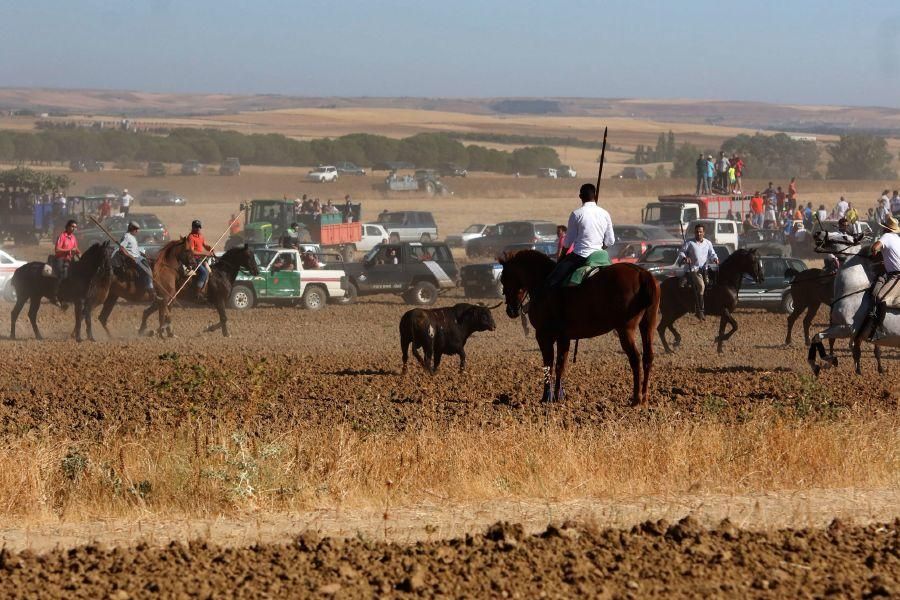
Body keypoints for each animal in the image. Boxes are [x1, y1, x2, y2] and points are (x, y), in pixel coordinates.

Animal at [500, 248, 660, 408]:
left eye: (503, 278)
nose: (510, 310)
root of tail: (642, 273)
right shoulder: (564, 337)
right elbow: (560, 366)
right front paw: (558, 396)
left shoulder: (543, 336)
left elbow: (549, 365)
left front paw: (546, 398)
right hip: (648, 325)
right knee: (648, 357)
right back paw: (644, 397)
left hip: (625, 330)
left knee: (635, 358)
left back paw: (636, 398)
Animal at [808, 231, 900, 376]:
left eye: (844, 236)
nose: (819, 233)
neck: (852, 289)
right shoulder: (845, 330)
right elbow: (817, 337)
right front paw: (823, 364)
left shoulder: (846, 329)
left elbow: (819, 337)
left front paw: (828, 361)